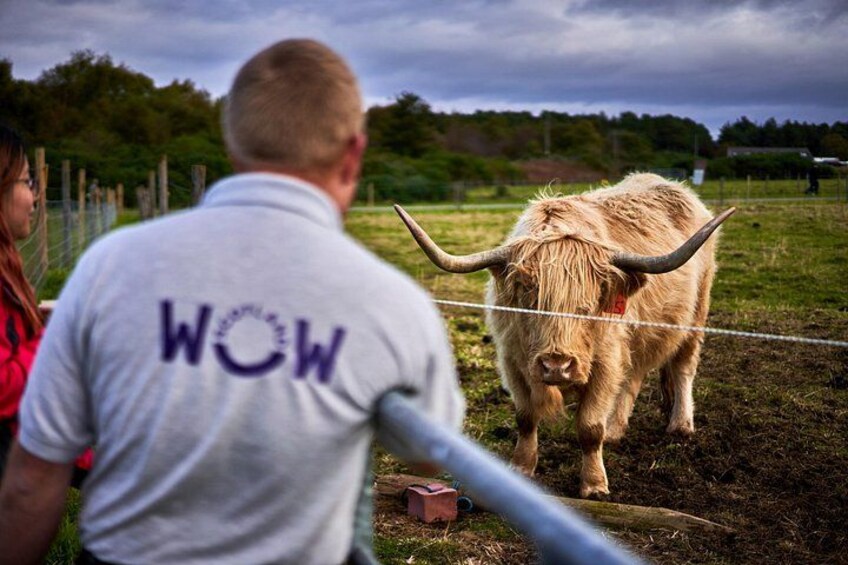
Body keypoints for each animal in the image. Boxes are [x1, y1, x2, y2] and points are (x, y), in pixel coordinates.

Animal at [395, 173, 734, 498]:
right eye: (529, 298)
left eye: (587, 305)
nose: (556, 366)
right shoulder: (512, 360)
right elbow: (525, 417)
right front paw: (522, 468)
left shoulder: (605, 362)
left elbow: (590, 427)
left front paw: (594, 485)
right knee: (634, 375)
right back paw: (616, 430)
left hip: (696, 315)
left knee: (683, 368)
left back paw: (681, 425)